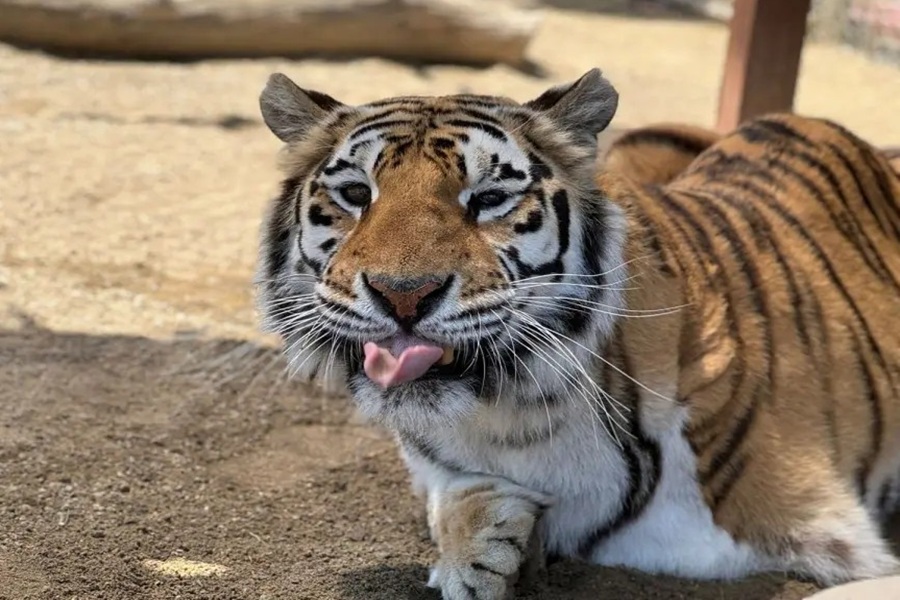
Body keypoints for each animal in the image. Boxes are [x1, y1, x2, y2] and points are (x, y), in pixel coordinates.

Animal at [254, 68, 900, 600]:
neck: (514, 415)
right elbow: (451, 494)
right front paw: (479, 547)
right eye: (355, 194)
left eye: (489, 199)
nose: (403, 294)